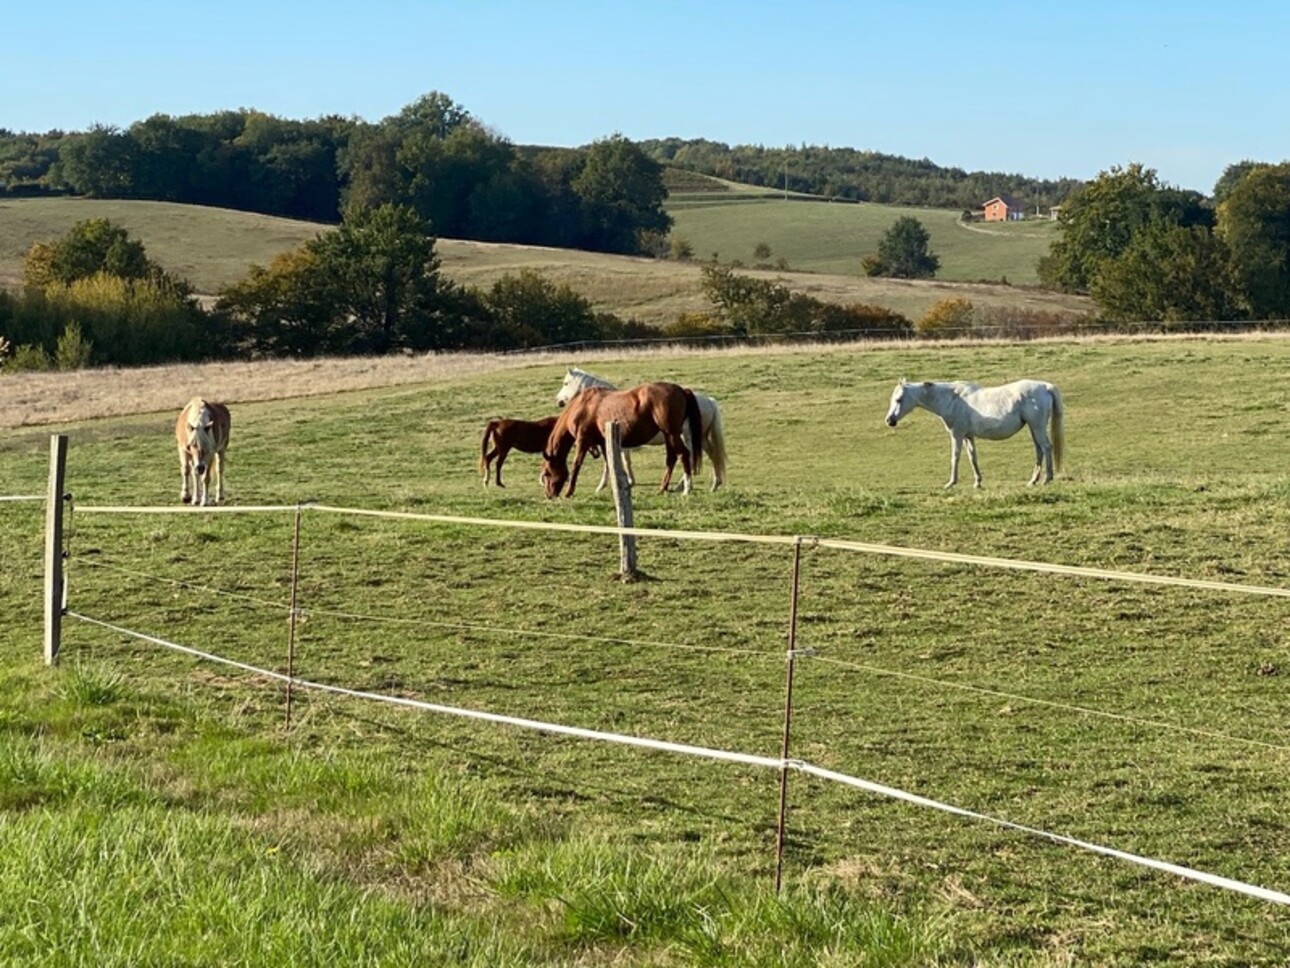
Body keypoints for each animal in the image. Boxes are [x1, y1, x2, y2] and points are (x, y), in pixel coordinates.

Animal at [544, 382, 706, 500]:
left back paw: (686, 489)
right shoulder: (603, 442)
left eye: (546, 473)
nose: (549, 494)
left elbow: (577, 465)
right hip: (669, 436)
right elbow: (610, 464)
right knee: (671, 459)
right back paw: (662, 489)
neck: (583, 406)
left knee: (683, 454)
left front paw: (569, 491)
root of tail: (681, 390)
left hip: (672, 434)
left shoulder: (583, 441)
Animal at [557, 366, 732, 493]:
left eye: (566, 383)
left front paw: (604, 485)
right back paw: (714, 484)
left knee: (688, 456)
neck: (603, 404)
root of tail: (708, 400)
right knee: (712, 454)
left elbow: (613, 463)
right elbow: (624, 461)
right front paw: (628, 480)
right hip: (700, 437)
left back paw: (683, 486)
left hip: (687, 437)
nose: (558, 400)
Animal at [882, 376, 1062, 487]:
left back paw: (1047, 479)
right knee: (1039, 450)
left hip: (1037, 427)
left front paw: (951, 483)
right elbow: (972, 457)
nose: (890, 420)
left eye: (899, 399)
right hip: (1033, 428)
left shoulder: (957, 435)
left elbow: (955, 457)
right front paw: (977, 482)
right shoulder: (968, 436)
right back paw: (1033, 481)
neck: (952, 399)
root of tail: (1046, 387)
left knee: (1046, 448)